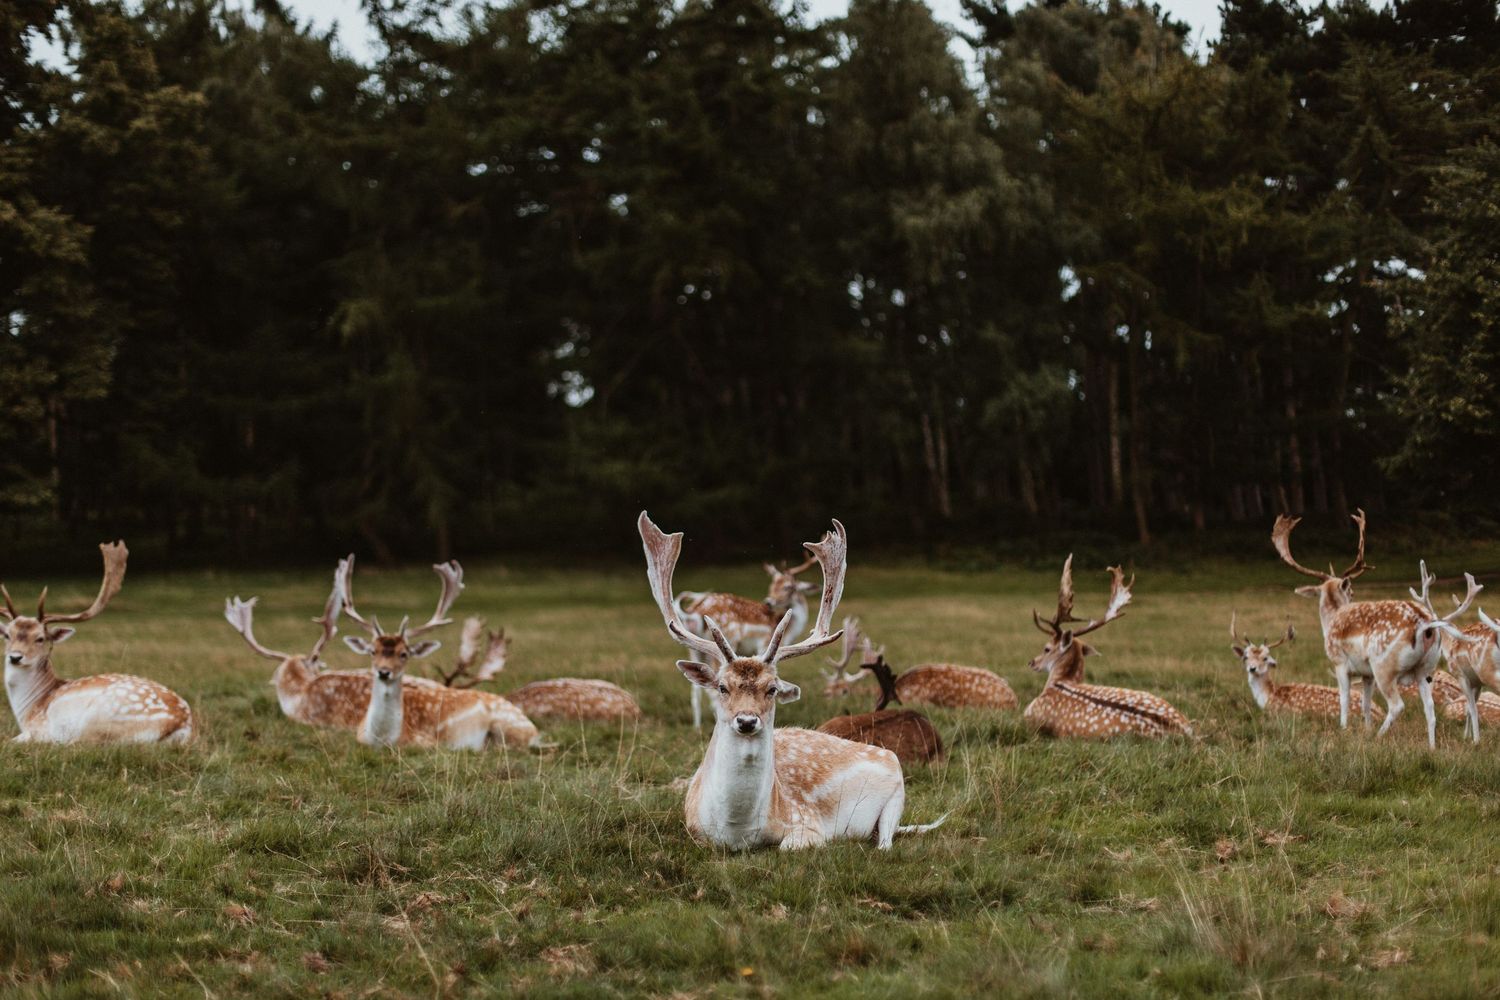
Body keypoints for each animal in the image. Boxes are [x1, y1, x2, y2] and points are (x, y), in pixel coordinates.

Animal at [2, 542, 194, 744]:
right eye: (7, 635)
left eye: (40, 638)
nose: (15, 657)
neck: (30, 709)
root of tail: (180, 723)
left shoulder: (38, 729)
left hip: (98, 719)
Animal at [338, 557, 543, 750]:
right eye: (373, 651)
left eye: (404, 654)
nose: (384, 671)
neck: (381, 738)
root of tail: (534, 728)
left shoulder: (426, 743)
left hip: (509, 724)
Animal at [674, 550, 822, 729]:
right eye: (772, 586)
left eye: (788, 587)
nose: (769, 601)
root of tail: (695, 611)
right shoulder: (763, 644)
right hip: (725, 641)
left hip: (693, 650)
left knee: (695, 689)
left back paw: (697, 727)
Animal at [1273, 511, 1480, 747]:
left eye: (1352, 591)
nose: (1352, 594)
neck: (1332, 619)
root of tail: (1426, 625)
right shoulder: (1366, 674)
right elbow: (1365, 703)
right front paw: (1366, 727)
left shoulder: (1340, 662)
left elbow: (1344, 699)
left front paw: (1345, 730)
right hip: (1425, 669)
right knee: (1430, 709)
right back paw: (1431, 747)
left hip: (1384, 666)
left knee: (1398, 705)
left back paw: (1378, 737)